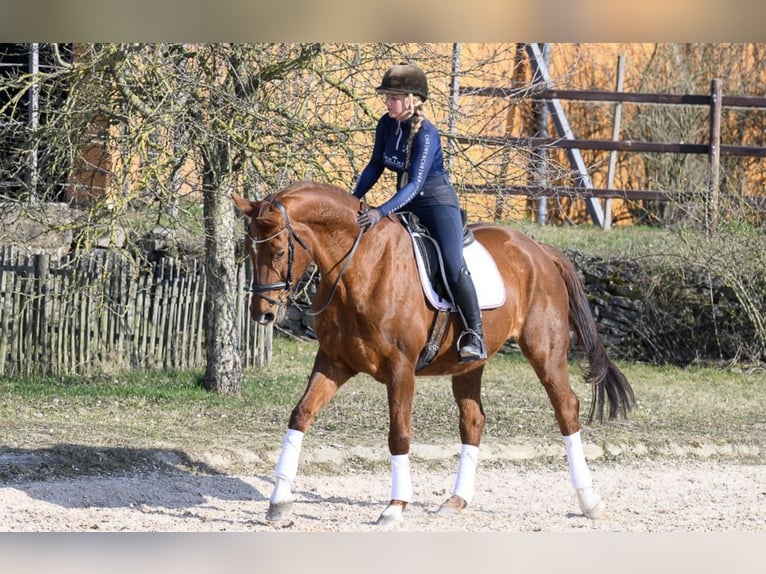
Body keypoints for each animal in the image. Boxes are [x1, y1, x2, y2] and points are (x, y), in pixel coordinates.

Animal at [232, 181, 636, 528]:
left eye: (279, 252)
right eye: (249, 251)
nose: (262, 314)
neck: (360, 266)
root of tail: (540, 251)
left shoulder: (400, 369)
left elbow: (399, 435)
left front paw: (395, 507)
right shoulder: (334, 362)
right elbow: (300, 416)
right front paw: (278, 501)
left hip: (544, 351)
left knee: (566, 408)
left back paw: (589, 500)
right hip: (470, 363)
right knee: (473, 421)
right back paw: (456, 500)